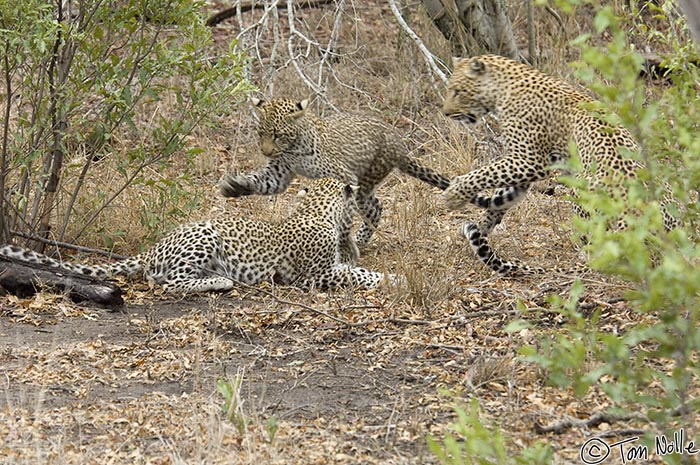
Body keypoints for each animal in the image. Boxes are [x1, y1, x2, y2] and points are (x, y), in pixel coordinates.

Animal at [0, 177, 388, 290]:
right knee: (167, 282)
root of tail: (153, 246)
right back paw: (221, 282)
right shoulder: (318, 276)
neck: (318, 210)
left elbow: (358, 269)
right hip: (205, 234)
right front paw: (390, 279)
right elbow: (361, 274)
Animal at [220, 96, 448, 245]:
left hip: (365, 181)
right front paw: (234, 187)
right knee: (375, 206)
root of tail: (399, 143)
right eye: (261, 133)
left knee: (374, 207)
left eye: (278, 135)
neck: (292, 149)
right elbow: (260, 181)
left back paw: (360, 239)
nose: (265, 152)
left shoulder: (343, 176)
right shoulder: (278, 173)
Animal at [442, 54, 680, 274]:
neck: (501, 91)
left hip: (581, 192)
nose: (446, 113)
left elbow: (483, 173)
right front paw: (481, 226)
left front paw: (454, 195)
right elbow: (499, 198)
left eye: (457, 91)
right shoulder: (521, 166)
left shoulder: (528, 160)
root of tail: (636, 222)